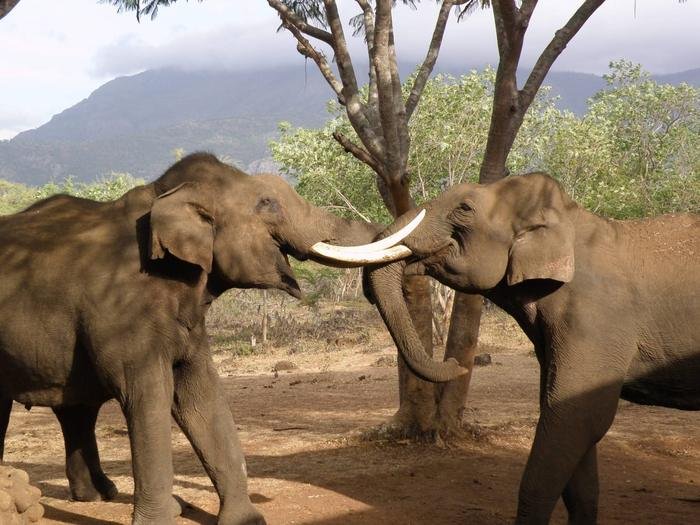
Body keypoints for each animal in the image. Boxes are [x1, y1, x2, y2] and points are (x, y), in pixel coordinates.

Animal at [0, 152, 401, 524]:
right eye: (266, 202)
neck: (164, 196)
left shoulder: (188, 320)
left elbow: (201, 392)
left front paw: (245, 520)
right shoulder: (120, 311)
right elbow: (147, 394)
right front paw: (163, 518)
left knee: (76, 408)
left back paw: (101, 495)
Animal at [318, 172, 699, 524]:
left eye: (464, 208)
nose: (456, 362)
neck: (571, 221)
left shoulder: (597, 319)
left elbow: (579, 416)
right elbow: (570, 422)